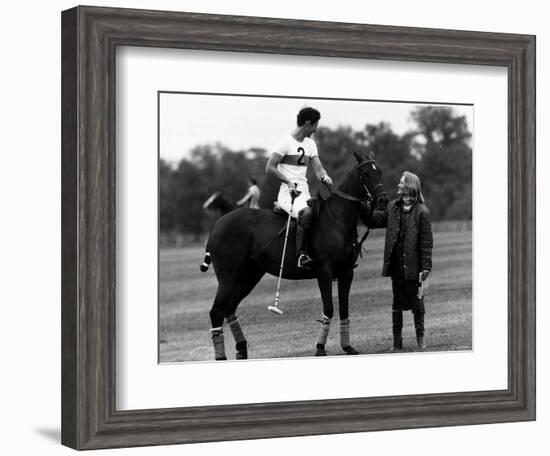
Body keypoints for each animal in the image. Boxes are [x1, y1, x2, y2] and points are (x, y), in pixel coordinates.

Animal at [202, 151, 388, 362]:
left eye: (379, 172)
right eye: (365, 173)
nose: (383, 200)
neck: (338, 220)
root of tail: (216, 224)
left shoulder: (347, 272)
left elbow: (344, 309)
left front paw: (348, 347)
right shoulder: (324, 271)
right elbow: (329, 308)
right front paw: (320, 348)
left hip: (249, 276)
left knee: (229, 308)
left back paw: (241, 350)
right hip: (228, 277)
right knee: (216, 311)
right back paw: (222, 357)